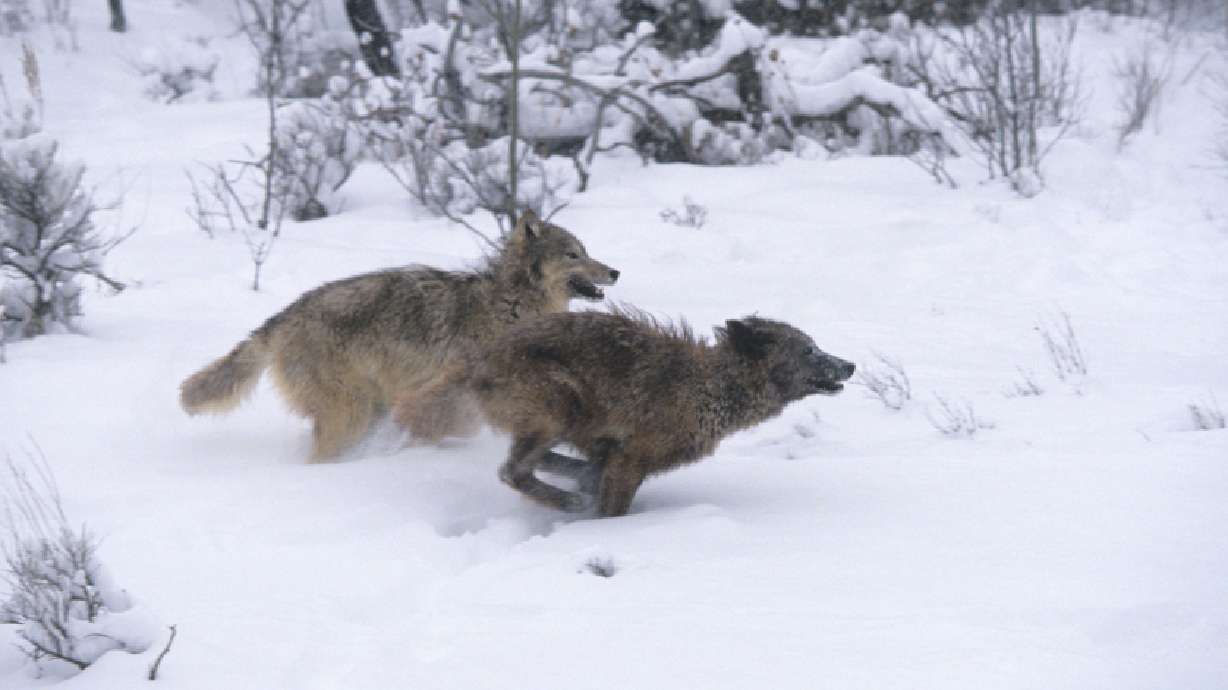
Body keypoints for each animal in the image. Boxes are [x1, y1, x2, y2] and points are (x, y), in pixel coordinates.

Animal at [179, 211, 619, 460]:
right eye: (574, 254)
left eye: (586, 250)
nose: (615, 271)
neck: (511, 304)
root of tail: (284, 316)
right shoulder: (449, 387)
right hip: (352, 413)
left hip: (365, 409)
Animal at [469, 308, 855, 517]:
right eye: (807, 350)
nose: (849, 365)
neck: (709, 388)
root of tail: (480, 363)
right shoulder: (632, 457)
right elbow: (611, 509)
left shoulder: (617, 454)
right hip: (558, 404)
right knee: (512, 471)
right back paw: (570, 500)